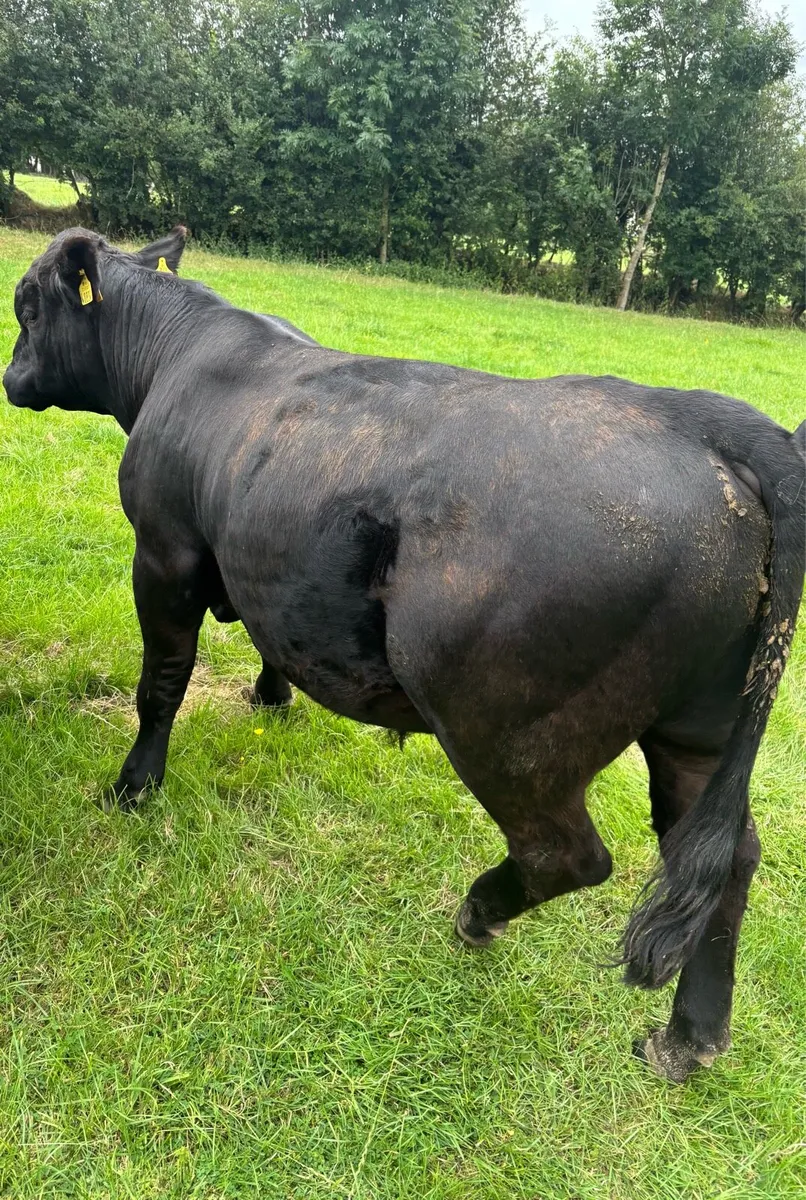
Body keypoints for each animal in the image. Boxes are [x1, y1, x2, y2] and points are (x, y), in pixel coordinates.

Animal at [4, 226, 804, 1083]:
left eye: (27, 307)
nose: (11, 379)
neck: (178, 355)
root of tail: (693, 415)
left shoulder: (164, 555)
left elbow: (161, 682)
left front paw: (134, 786)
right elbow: (266, 628)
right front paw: (270, 694)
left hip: (509, 728)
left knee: (567, 854)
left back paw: (480, 912)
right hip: (697, 728)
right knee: (726, 859)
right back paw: (689, 1036)